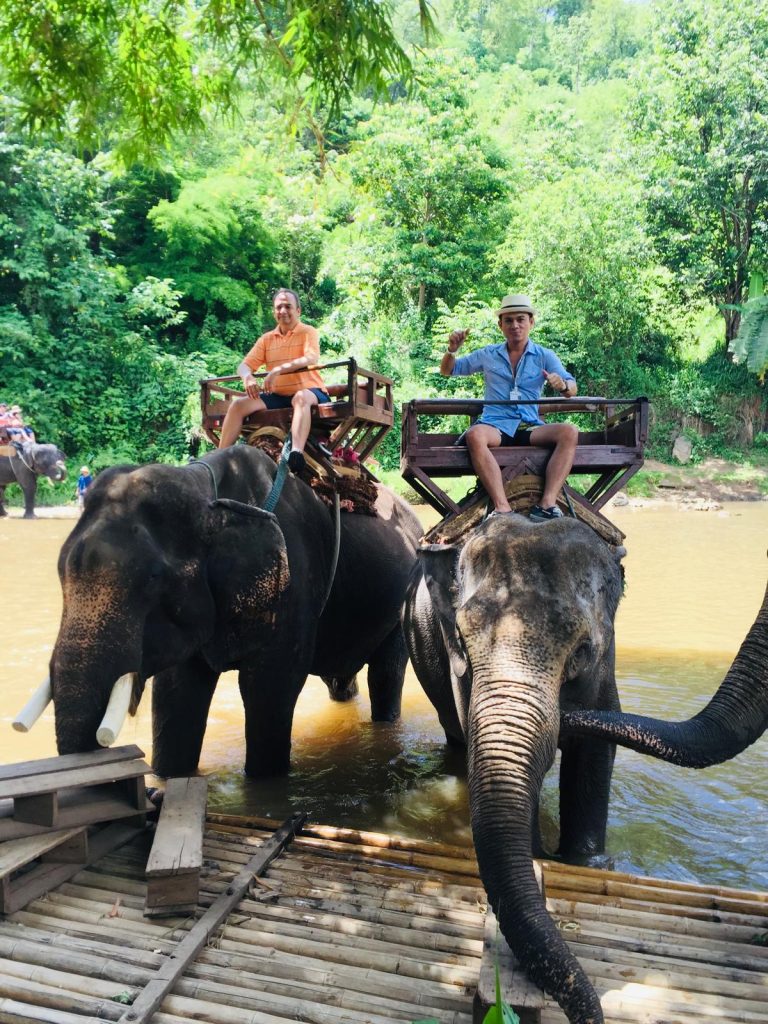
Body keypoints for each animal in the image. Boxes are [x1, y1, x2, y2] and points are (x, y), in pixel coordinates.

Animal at [49, 445, 422, 778]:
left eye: (154, 577)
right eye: (59, 570)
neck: (205, 489)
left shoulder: (295, 581)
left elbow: (271, 686)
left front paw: (264, 781)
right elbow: (176, 691)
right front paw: (168, 777)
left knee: (386, 673)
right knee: (341, 679)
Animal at [403, 513, 625, 1024]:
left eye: (582, 650)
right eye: (464, 643)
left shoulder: (606, 671)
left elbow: (594, 756)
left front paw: (584, 861)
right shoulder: (456, 672)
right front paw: (540, 855)